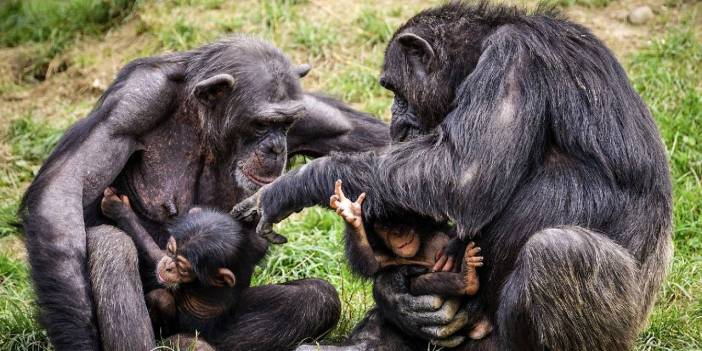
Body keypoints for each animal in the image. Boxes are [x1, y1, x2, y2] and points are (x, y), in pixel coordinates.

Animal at [99, 188, 264, 342]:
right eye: (171, 249)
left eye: (183, 268)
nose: (168, 266)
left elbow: (153, 253)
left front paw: (118, 209)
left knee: (162, 298)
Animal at [332, 180, 492, 340]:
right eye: (385, 225)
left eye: (403, 218)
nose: (398, 232)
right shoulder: (386, 257)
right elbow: (370, 263)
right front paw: (352, 214)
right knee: (418, 282)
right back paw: (467, 279)